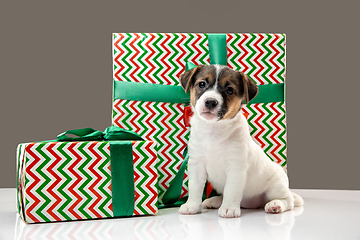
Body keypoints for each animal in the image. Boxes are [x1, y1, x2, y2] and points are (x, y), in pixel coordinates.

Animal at [179, 64, 302, 218]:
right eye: (201, 84)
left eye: (229, 90)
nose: (210, 101)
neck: (214, 131)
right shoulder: (196, 165)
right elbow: (195, 187)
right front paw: (192, 206)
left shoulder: (236, 167)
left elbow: (231, 189)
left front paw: (229, 208)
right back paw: (215, 200)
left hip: (276, 186)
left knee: (288, 200)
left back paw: (275, 204)